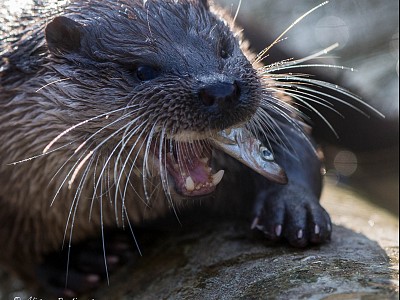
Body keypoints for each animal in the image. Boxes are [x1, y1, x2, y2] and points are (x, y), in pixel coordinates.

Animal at [0, 0, 332, 296]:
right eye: (143, 71)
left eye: (223, 49)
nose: (220, 88)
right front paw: (72, 263)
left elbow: (293, 137)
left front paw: (293, 207)